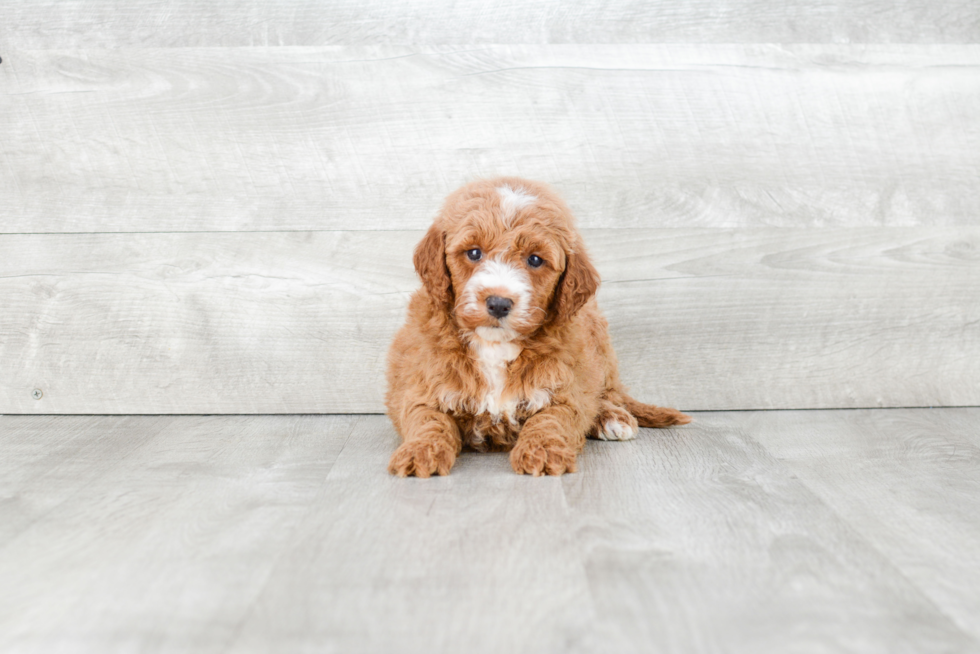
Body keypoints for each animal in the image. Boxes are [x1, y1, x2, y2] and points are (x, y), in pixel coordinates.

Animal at [382, 177, 688, 480]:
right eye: (474, 253)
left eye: (535, 259)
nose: (498, 303)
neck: (495, 345)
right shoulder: (422, 385)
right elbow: (428, 420)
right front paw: (421, 451)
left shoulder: (566, 387)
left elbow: (552, 419)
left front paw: (543, 450)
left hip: (601, 347)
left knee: (604, 394)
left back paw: (610, 417)